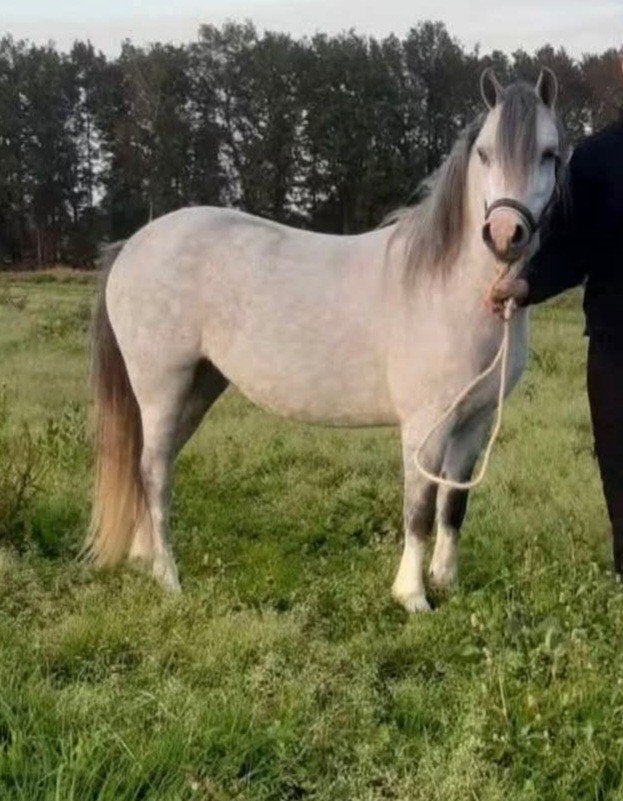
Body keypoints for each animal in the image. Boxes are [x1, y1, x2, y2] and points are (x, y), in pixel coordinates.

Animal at [87, 68, 566, 612]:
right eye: (484, 153)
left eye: (550, 153)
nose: (504, 235)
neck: (449, 287)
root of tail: (132, 245)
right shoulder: (425, 426)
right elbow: (419, 509)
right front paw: (413, 596)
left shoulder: (474, 424)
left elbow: (453, 505)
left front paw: (447, 583)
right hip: (161, 388)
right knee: (153, 473)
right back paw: (169, 579)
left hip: (198, 388)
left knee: (153, 463)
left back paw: (144, 559)